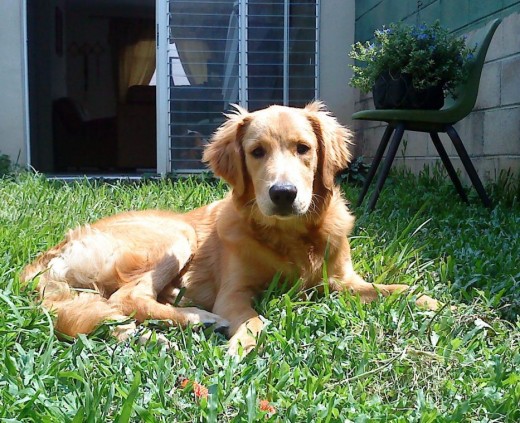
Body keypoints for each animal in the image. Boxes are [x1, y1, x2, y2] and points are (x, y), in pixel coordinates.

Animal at [21, 102, 438, 354]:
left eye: (304, 148)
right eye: (257, 152)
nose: (283, 194)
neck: (289, 236)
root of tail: (49, 254)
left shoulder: (341, 281)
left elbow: (395, 289)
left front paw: (436, 303)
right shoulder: (234, 294)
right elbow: (256, 320)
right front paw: (239, 348)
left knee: (106, 311)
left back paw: (150, 335)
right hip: (176, 236)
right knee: (125, 298)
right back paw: (196, 318)